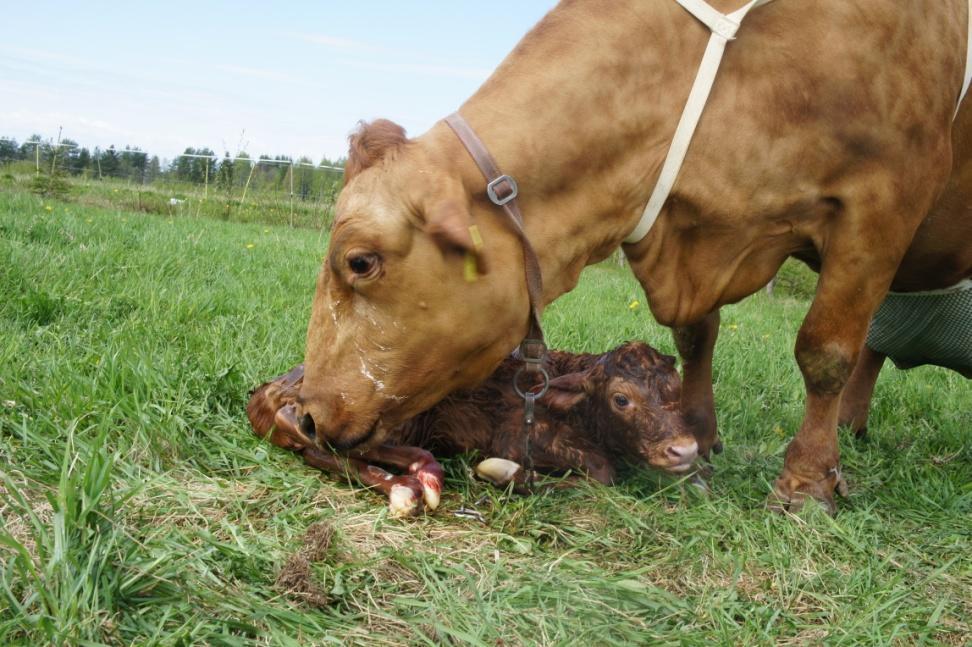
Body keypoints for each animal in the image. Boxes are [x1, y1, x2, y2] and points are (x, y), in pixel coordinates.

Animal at [247, 340, 696, 516]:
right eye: (621, 399)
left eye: (678, 390)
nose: (686, 450)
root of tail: (272, 389)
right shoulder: (516, 437)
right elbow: (604, 474)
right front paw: (503, 473)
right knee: (326, 445)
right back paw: (411, 482)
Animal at [296, 1, 972, 516]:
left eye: (359, 262)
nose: (307, 410)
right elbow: (695, 336)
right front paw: (701, 436)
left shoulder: (881, 205)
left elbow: (825, 353)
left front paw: (806, 485)